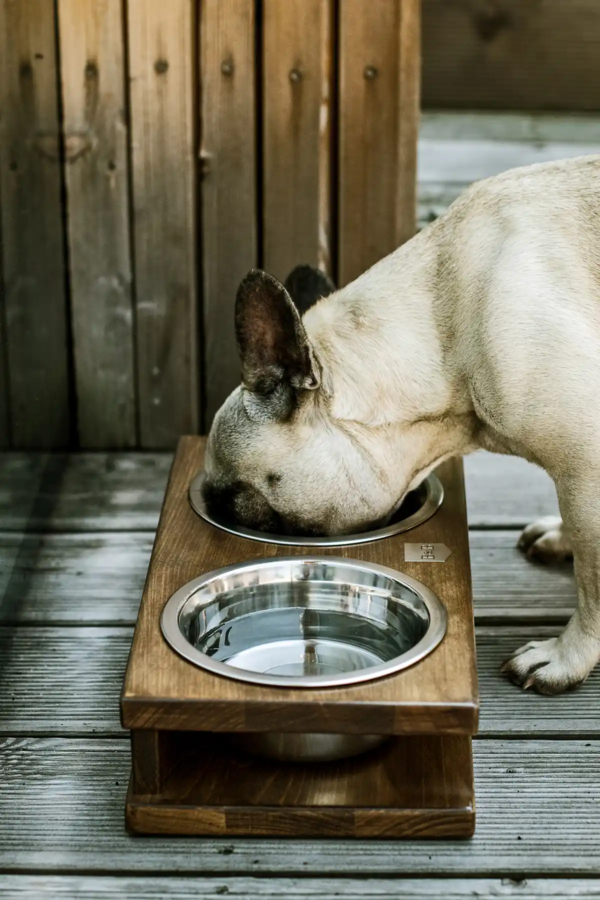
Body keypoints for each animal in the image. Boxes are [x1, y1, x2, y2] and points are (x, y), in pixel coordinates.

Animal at [205, 155, 600, 696]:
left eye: (232, 495)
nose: (211, 503)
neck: (448, 342)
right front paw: (560, 537)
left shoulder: (587, 464)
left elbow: (593, 579)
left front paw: (566, 657)